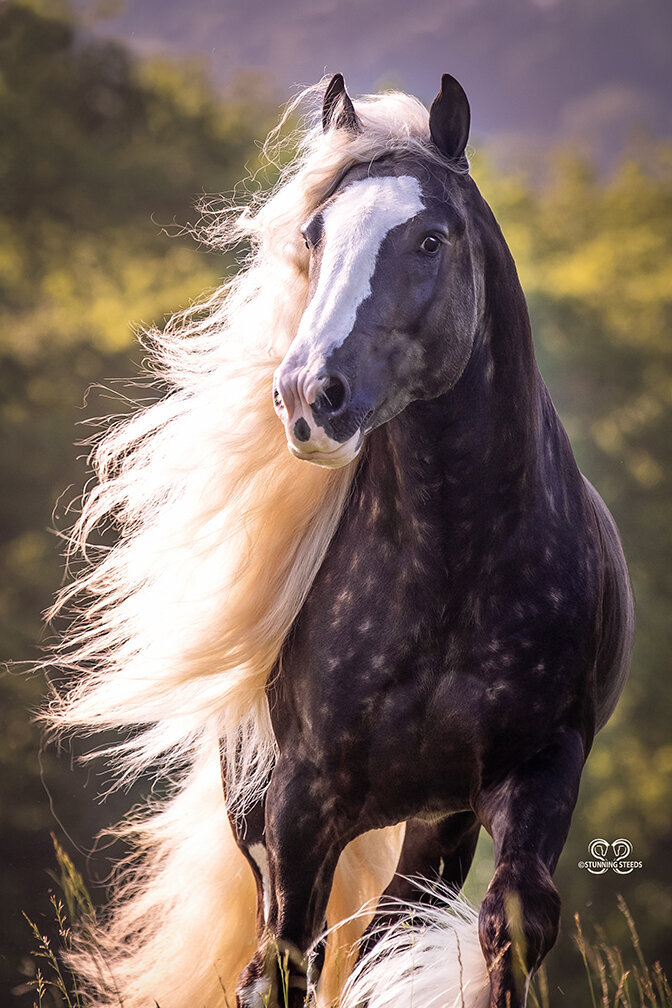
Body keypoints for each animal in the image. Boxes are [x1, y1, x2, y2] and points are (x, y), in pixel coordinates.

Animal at [48, 73, 636, 1008]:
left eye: (430, 239)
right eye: (314, 234)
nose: (306, 397)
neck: (450, 566)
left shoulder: (540, 768)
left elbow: (512, 926)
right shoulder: (300, 803)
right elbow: (285, 961)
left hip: (436, 826)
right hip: (272, 820)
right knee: (285, 957)